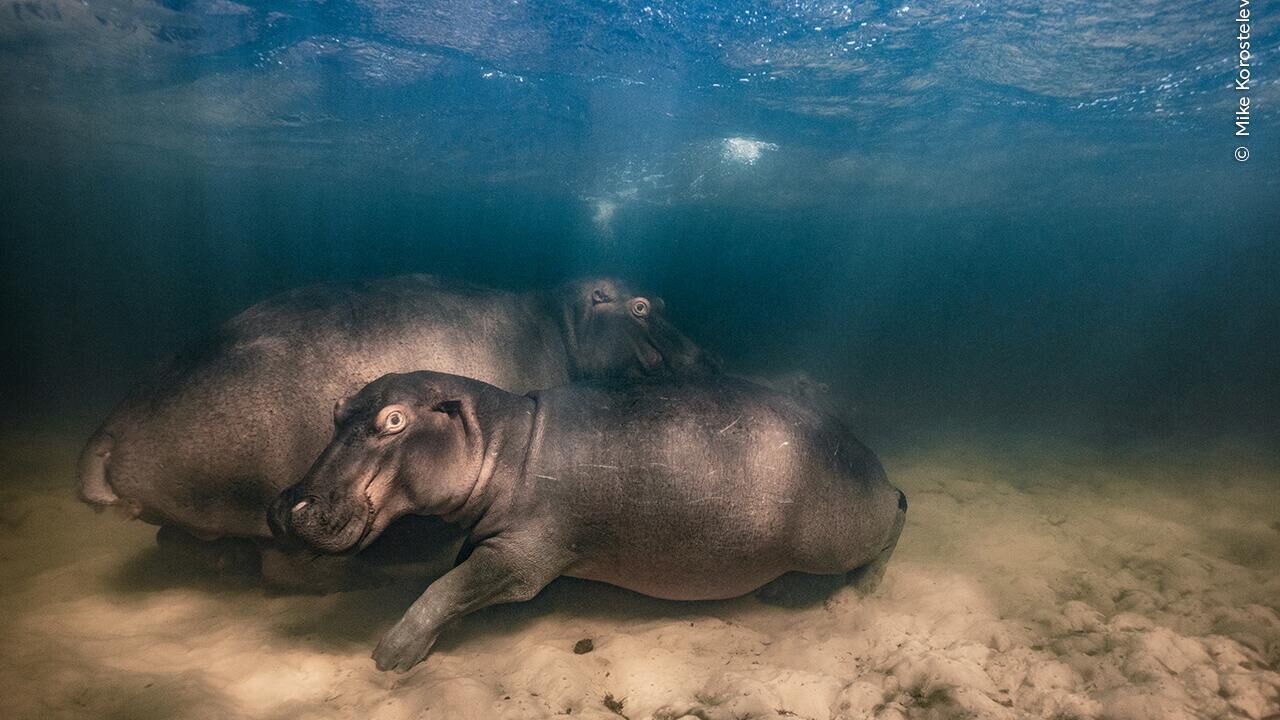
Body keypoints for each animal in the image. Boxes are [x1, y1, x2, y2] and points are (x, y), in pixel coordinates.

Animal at [77, 271, 721, 586]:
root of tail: (107, 435)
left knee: (183, 541)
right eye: (642, 305)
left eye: (663, 300)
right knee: (289, 569)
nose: (709, 360)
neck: (560, 325)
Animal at [271, 371, 911, 671]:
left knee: (897, 516)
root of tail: (870, 459)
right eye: (336, 410)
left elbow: (447, 587)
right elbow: (454, 574)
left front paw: (391, 654)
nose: (288, 505)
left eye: (395, 420)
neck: (505, 442)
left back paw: (863, 590)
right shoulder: (487, 538)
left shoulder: (522, 558)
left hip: (839, 536)